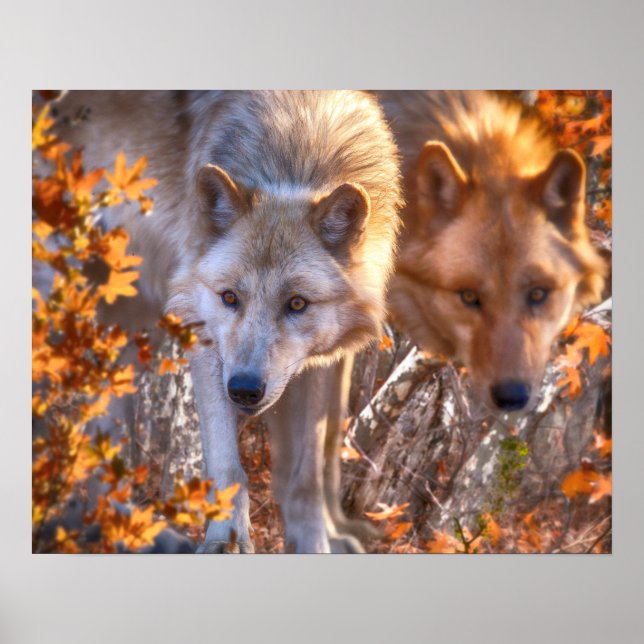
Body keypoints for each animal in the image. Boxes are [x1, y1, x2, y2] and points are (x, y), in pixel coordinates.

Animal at [53, 91, 402, 552]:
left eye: (296, 303)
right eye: (230, 297)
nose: (245, 389)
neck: (295, 151)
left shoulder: (322, 364)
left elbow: (308, 471)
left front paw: (315, 542)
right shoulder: (203, 335)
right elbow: (228, 467)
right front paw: (225, 541)